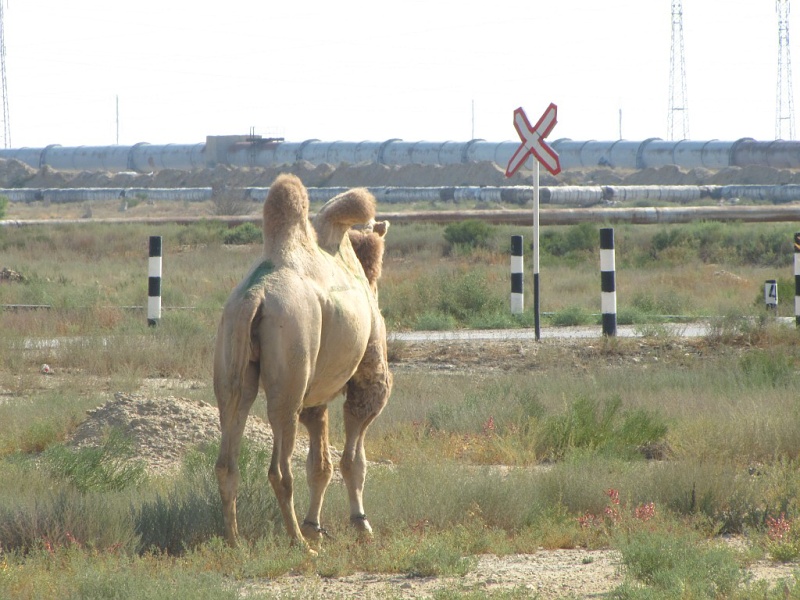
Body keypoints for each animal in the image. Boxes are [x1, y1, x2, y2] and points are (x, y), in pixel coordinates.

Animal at [211, 173, 390, 548]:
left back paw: (236, 541)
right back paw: (299, 543)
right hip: (292, 359)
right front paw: (360, 524)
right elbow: (353, 457)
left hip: (232, 351)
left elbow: (320, 463)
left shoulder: (316, 393)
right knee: (279, 465)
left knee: (228, 452)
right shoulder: (368, 371)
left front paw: (315, 525)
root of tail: (255, 296)